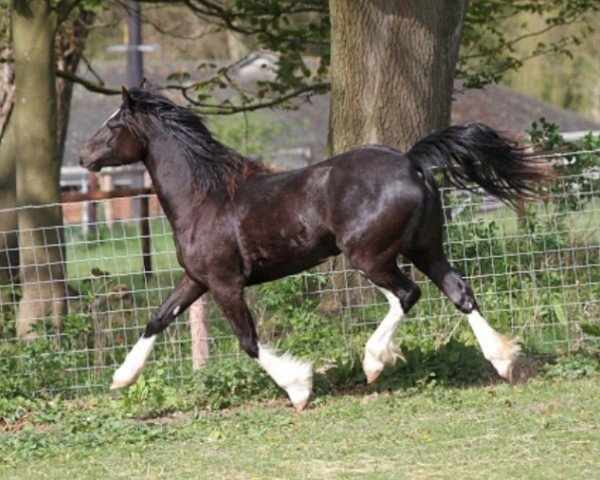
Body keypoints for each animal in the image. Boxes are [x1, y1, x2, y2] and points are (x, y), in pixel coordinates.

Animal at [79, 87, 552, 408]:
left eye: (115, 125)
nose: (84, 155)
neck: (205, 199)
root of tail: (411, 162)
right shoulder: (197, 279)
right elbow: (157, 318)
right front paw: (122, 378)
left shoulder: (226, 283)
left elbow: (248, 341)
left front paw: (299, 388)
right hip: (426, 248)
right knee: (459, 293)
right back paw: (503, 361)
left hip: (368, 255)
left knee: (407, 294)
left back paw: (373, 362)